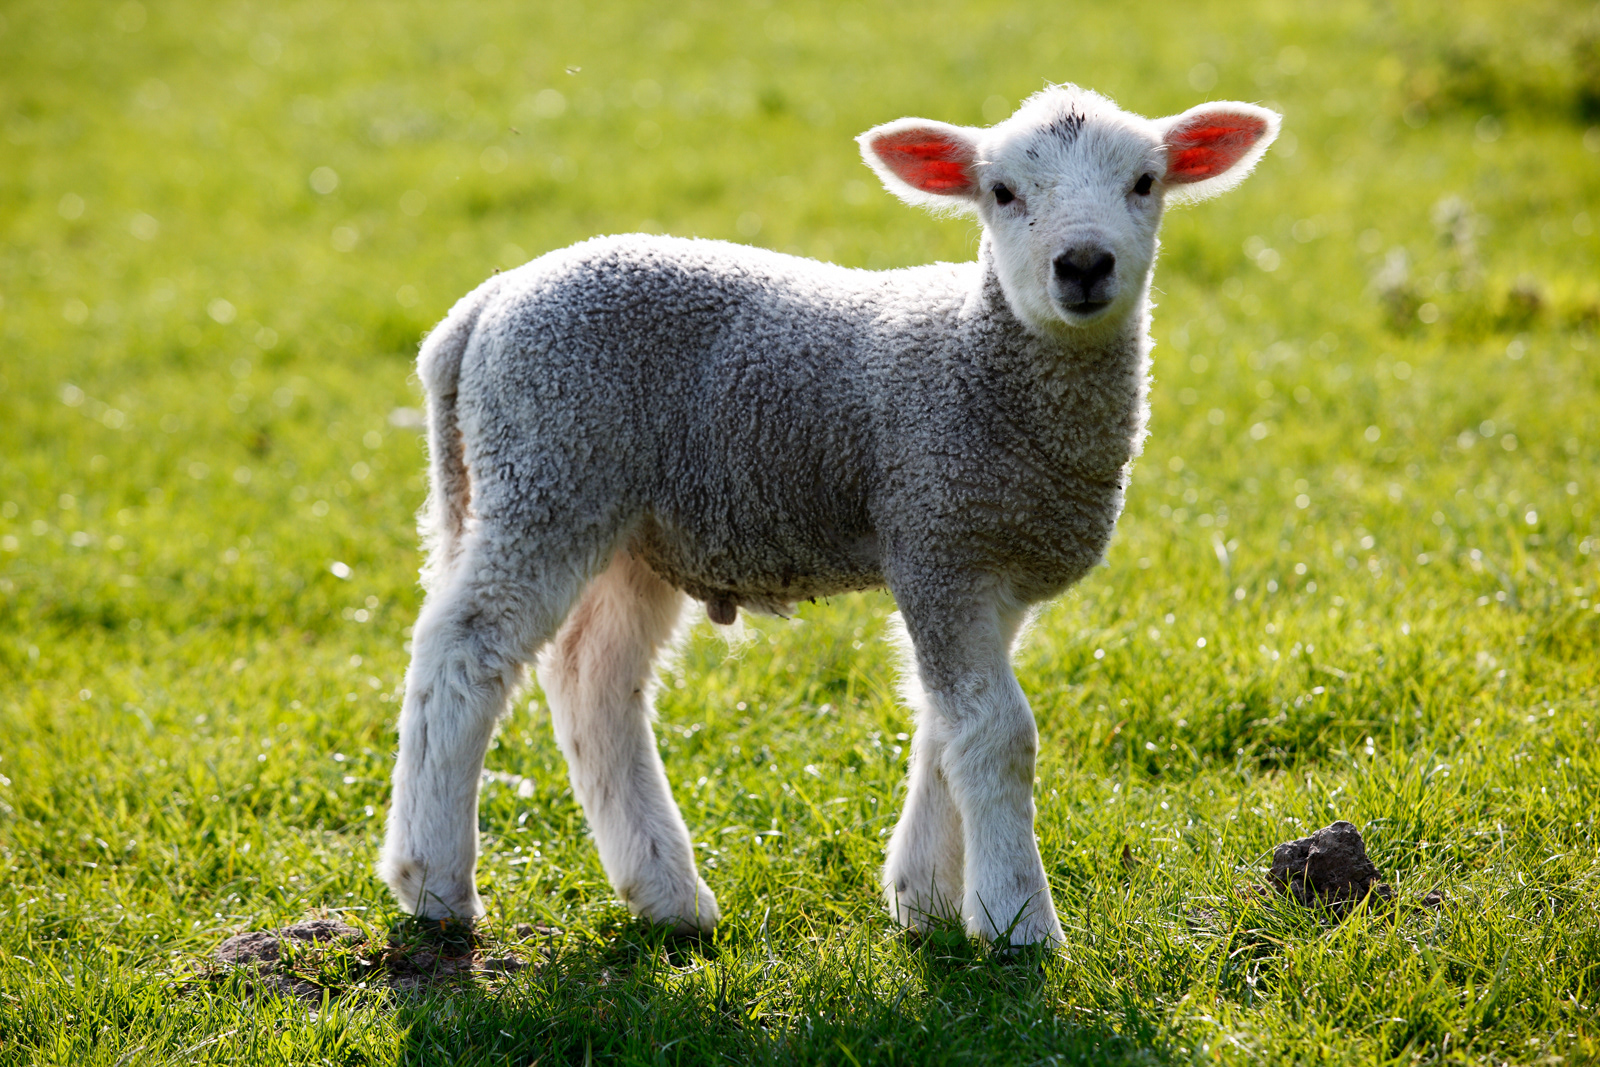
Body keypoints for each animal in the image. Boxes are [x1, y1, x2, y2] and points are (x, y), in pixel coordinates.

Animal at [378, 84, 1279, 949]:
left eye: (1145, 181)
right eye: (1001, 191)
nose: (1084, 263)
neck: (978, 361)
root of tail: (482, 306)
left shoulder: (988, 562)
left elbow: (945, 725)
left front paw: (925, 899)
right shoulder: (936, 536)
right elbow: (998, 731)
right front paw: (1018, 920)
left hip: (634, 527)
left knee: (593, 678)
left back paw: (668, 896)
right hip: (547, 472)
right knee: (464, 651)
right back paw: (434, 883)